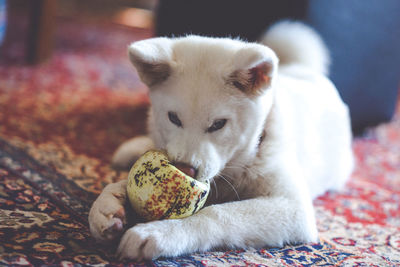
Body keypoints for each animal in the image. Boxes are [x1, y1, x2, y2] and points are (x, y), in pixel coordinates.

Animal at [88, 21, 354, 262]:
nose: (185, 169)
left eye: (218, 124)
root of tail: (302, 69)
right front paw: (106, 205)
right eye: (174, 118)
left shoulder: (294, 208)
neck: (244, 159)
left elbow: (218, 214)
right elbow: (120, 184)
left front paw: (160, 233)